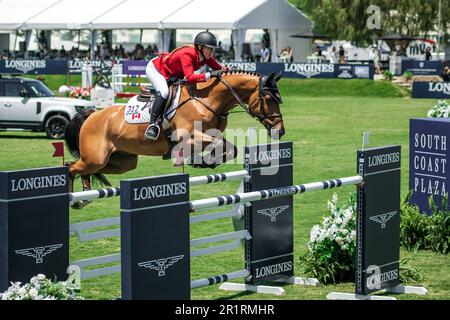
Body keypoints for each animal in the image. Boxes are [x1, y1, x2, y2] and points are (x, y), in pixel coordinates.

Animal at [64, 70, 284, 209]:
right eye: (269, 99)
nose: (280, 131)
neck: (206, 99)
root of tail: (92, 114)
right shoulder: (188, 136)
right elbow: (215, 144)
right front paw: (198, 160)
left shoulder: (212, 134)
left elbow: (230, 149)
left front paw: (205, 162)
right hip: (96, 157)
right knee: (71, 167)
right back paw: (73, 199)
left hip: (121, 162)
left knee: (84, 170)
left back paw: (83, 198)